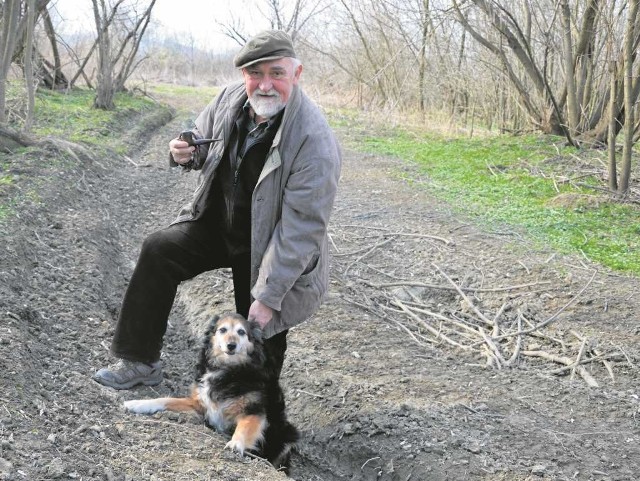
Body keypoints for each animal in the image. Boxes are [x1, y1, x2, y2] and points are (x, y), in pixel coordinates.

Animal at [125, 312, 300, 472]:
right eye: (222, 330)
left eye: (241, 332)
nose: (231, 345)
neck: (228, 370)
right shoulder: (200, 403)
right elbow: (165, 400)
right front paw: (137, 403)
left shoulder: (254, 411)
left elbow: (244, 428)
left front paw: (235, 444)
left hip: (288, 433)